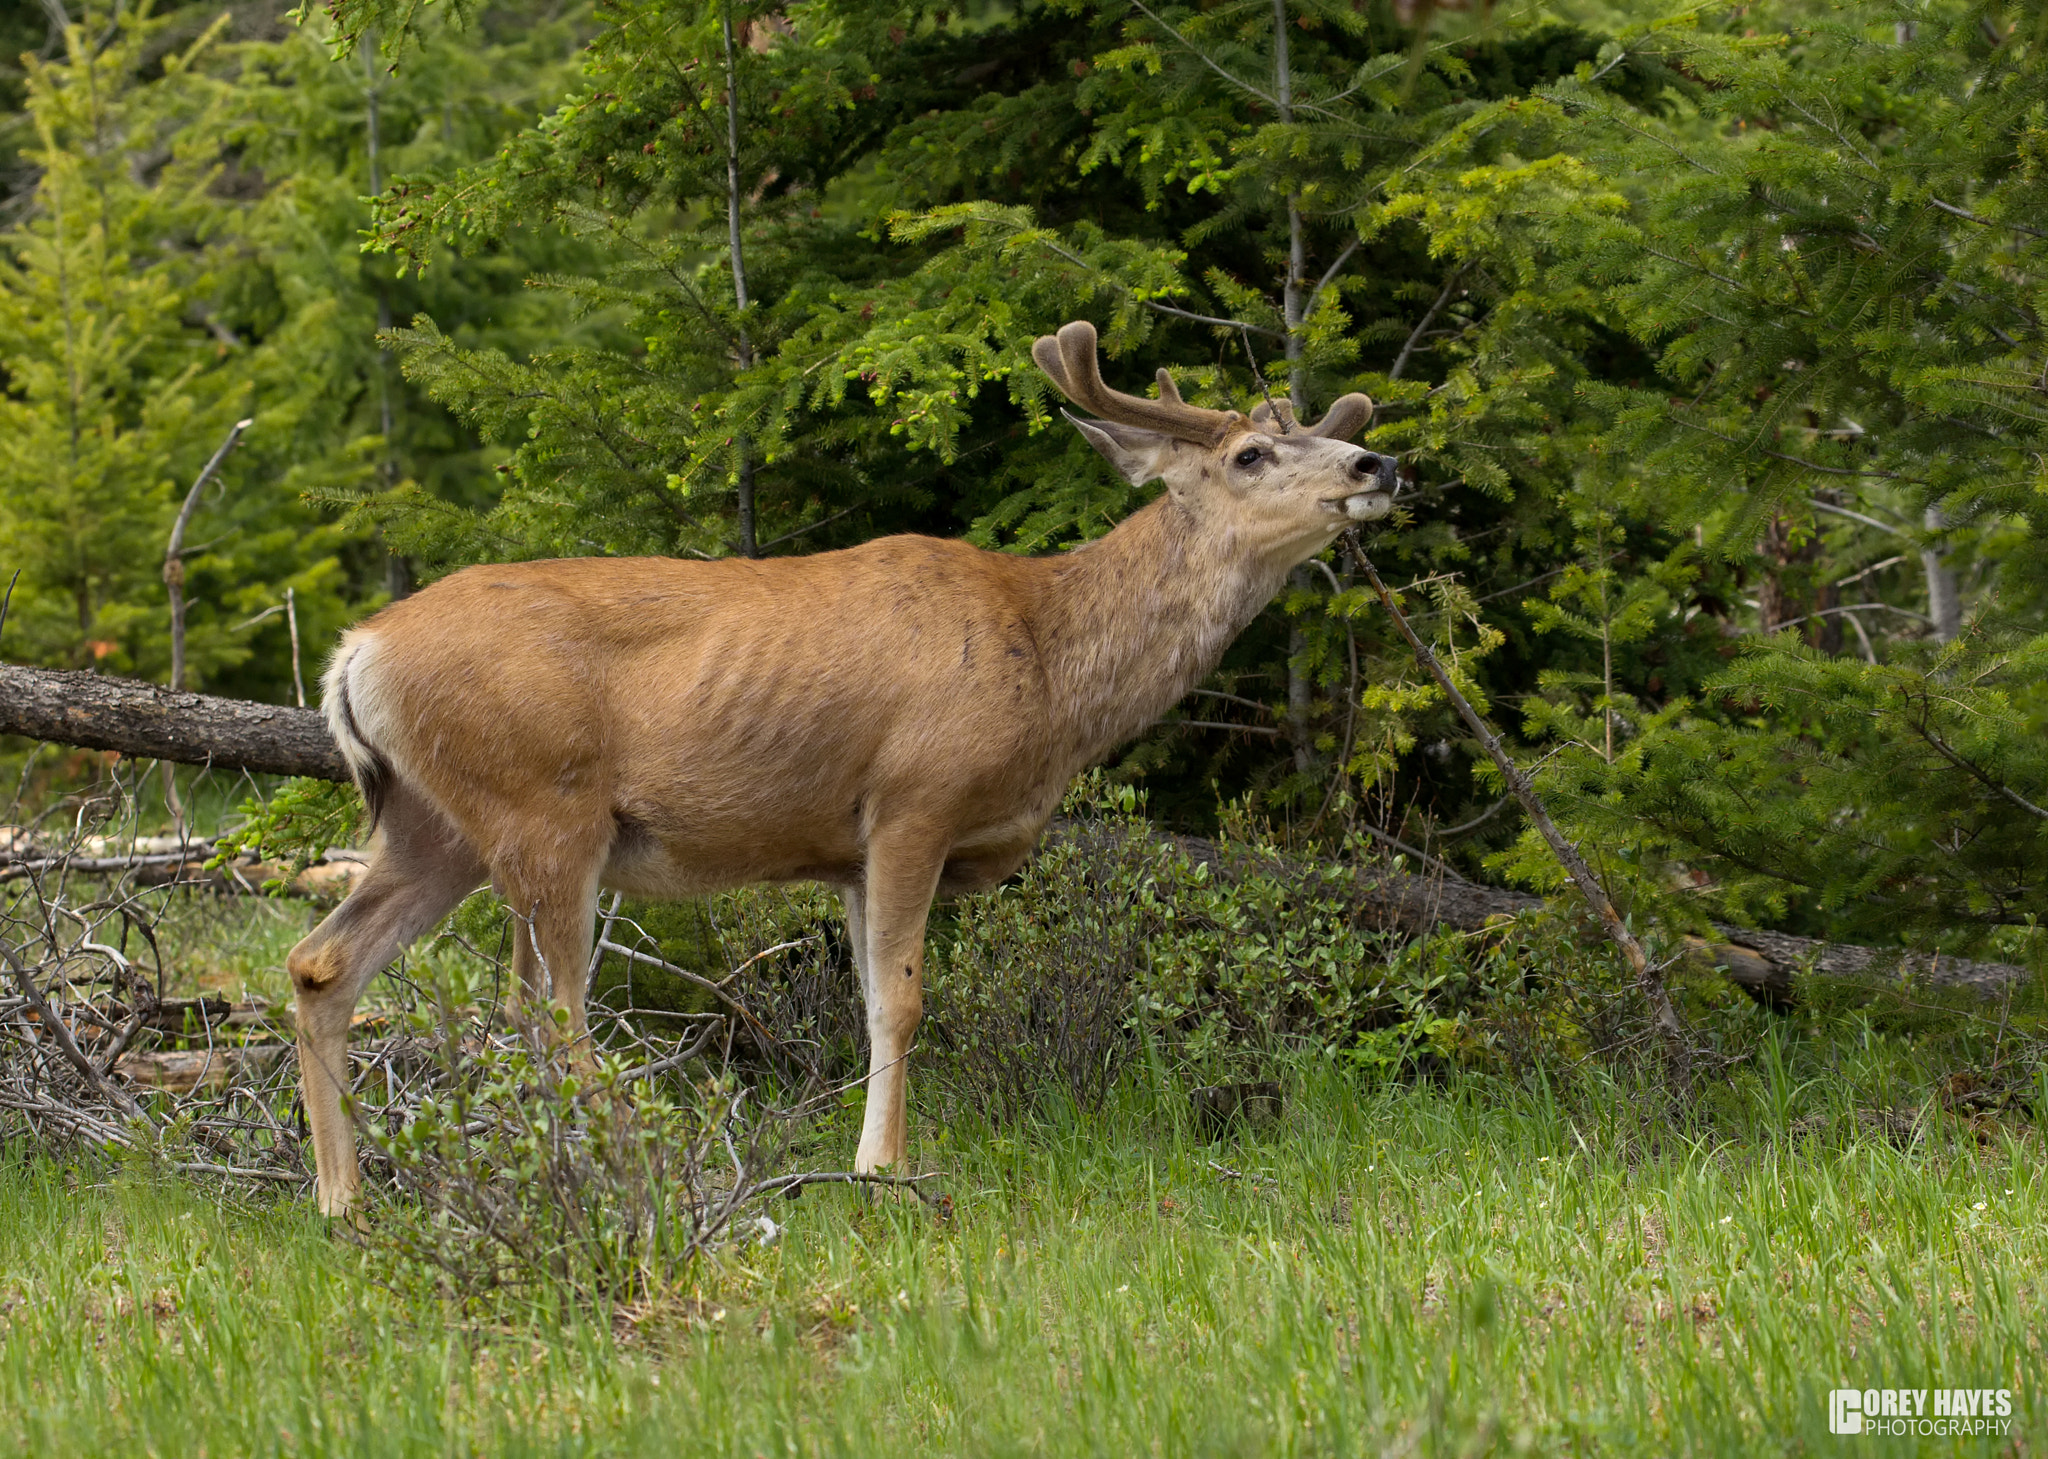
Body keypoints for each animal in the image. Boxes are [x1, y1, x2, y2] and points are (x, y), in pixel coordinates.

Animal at [288, 319, 1399, 1217]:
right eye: (1251, 452)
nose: (1376, 464)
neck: (1048, 660)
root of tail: (357, 654)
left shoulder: (850, 852)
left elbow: (870, 995)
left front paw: (881, 1154)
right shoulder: (914, 796)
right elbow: (901, 999)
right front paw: (884, 1170)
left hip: (434, 825)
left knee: (322, 962)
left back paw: (345, 1200)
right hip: (542, 809)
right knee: (543, 1010)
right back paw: (648, 1165)